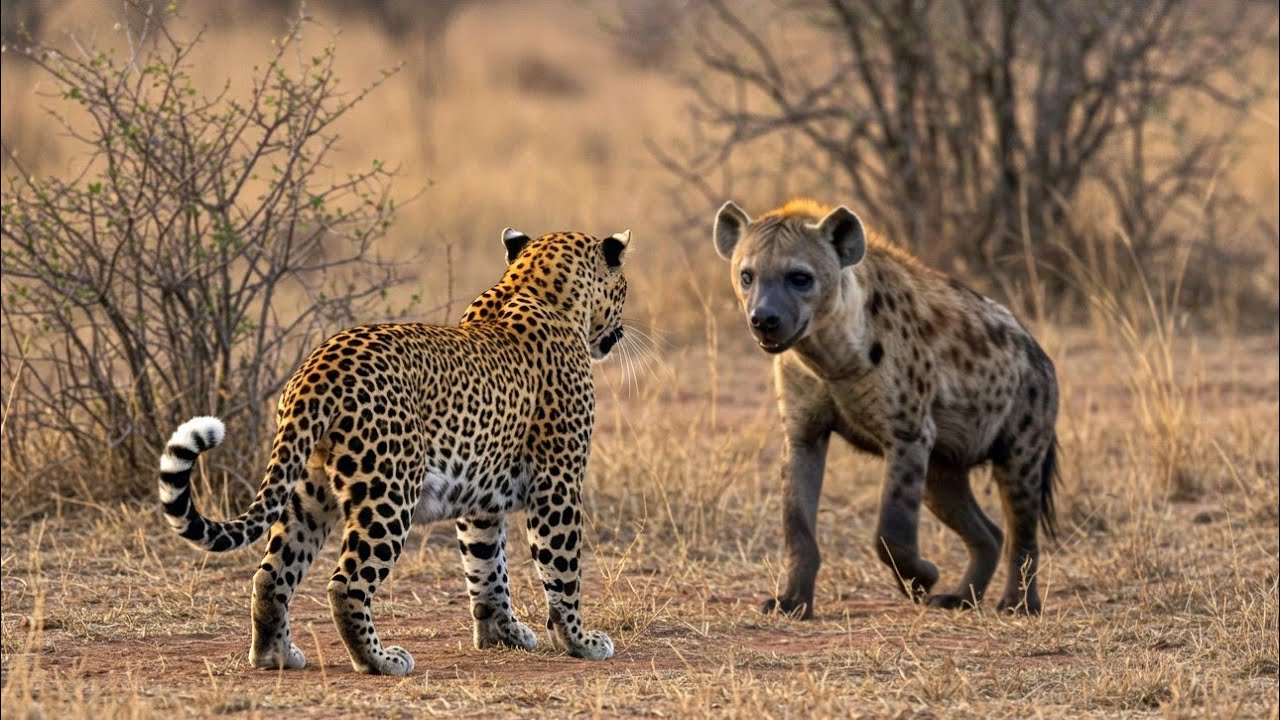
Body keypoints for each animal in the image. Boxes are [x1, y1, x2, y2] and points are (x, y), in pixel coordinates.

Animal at [159, 226, 631, 675]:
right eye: (624, 286)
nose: (620, 331)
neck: (533, 285)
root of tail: (317, 368)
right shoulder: (558, 483)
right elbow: (562, 569)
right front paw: (579, 642)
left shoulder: (481, 497)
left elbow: (487, 567)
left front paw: (503, 633)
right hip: (388, 490)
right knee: (346, 584)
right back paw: (380, 660)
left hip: (308, 488)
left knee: (271, 574)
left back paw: (276, 654)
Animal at [713, 198, 1059, 617]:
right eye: (747, 276)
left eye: (800, 278)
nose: (764, 319)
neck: (829, 357)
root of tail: (1036, 349)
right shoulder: (802, 434)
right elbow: (797, 523)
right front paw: (791, 602)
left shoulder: (909, 433)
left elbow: (891, 530)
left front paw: (921, 578)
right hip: (942, 468)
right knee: (986, 528)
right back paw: (960, 597)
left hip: (1022, 438)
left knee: (1022, 525)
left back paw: (1018, 604)